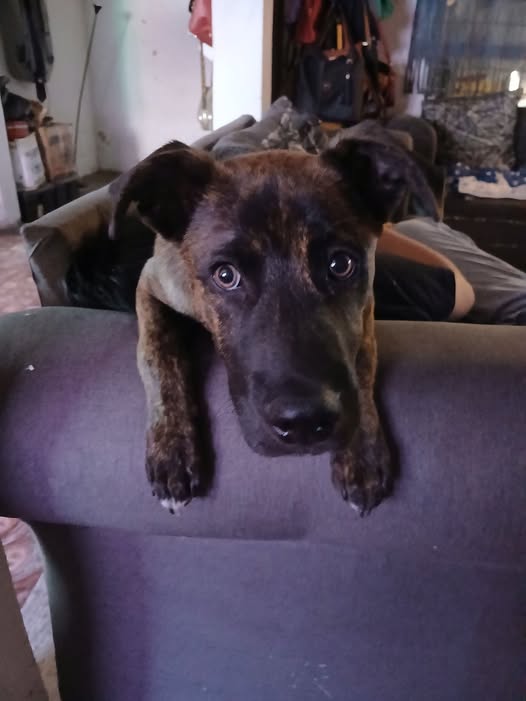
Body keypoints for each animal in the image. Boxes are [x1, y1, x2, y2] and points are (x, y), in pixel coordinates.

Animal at [72, 136, 438, 516]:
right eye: (225, 275)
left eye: (341, 264)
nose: (304, 424)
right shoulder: (151, 284)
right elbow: (158, 354)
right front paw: (172, 448)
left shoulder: (366, 310)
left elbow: (364, 363)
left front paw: (362, 451)